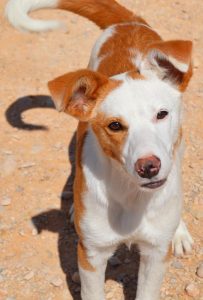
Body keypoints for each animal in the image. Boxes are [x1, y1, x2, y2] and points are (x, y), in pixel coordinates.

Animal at [5, 1, 193, 298]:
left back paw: (180, 230)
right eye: (114, 125)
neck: (131, 196)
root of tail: (128, 23)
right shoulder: (91, 255)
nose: (149, 167)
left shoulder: (155, 254)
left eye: (161, 114)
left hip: (180, 147)